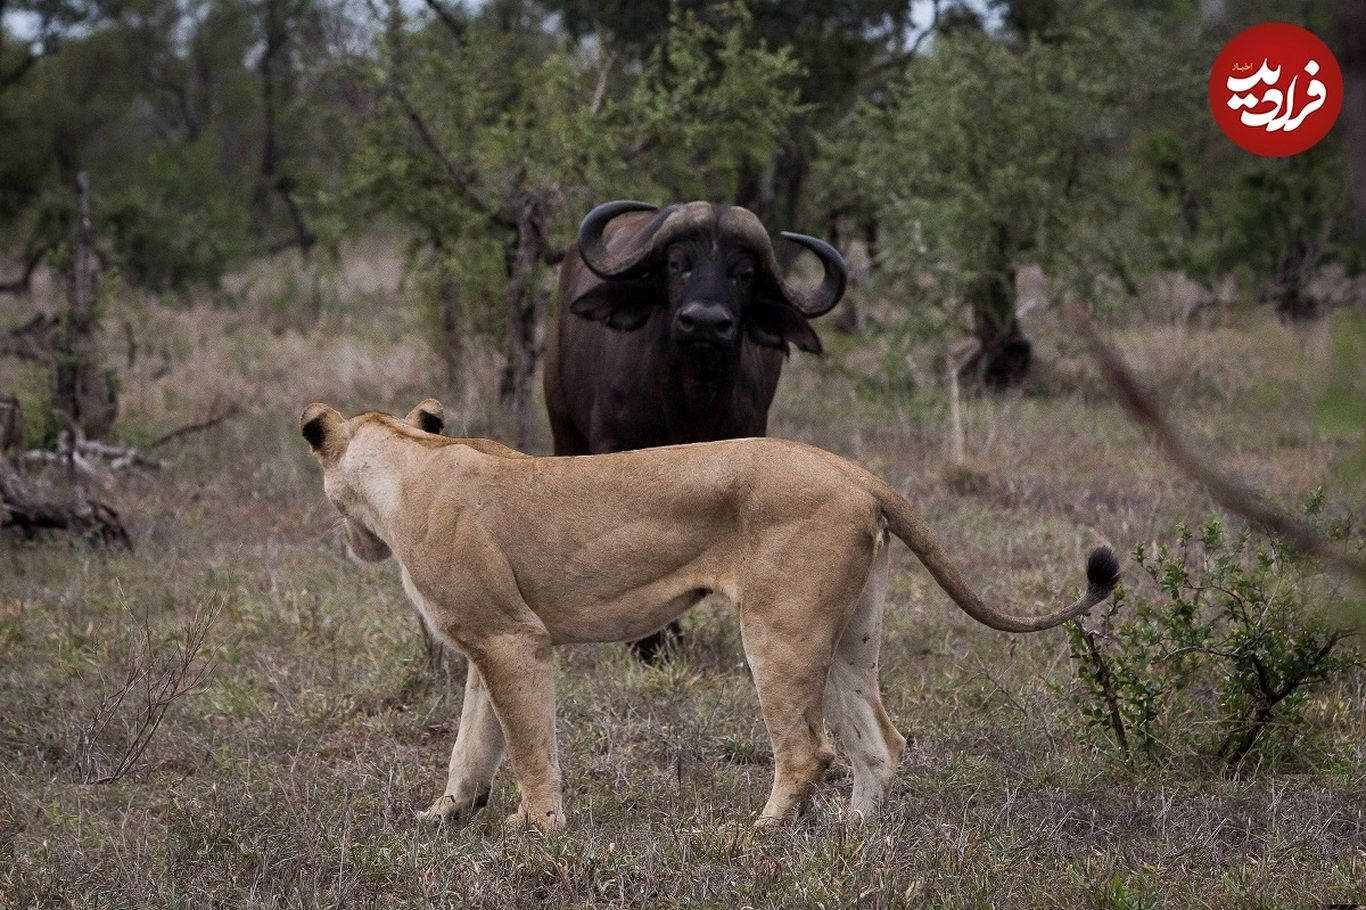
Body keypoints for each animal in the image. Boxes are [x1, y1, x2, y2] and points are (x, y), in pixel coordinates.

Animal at [540, 200, 841, 658]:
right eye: (677, 264)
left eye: (744, 273)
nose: (704, 322)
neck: (688, 404)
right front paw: (646, 642)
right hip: (563, 429)